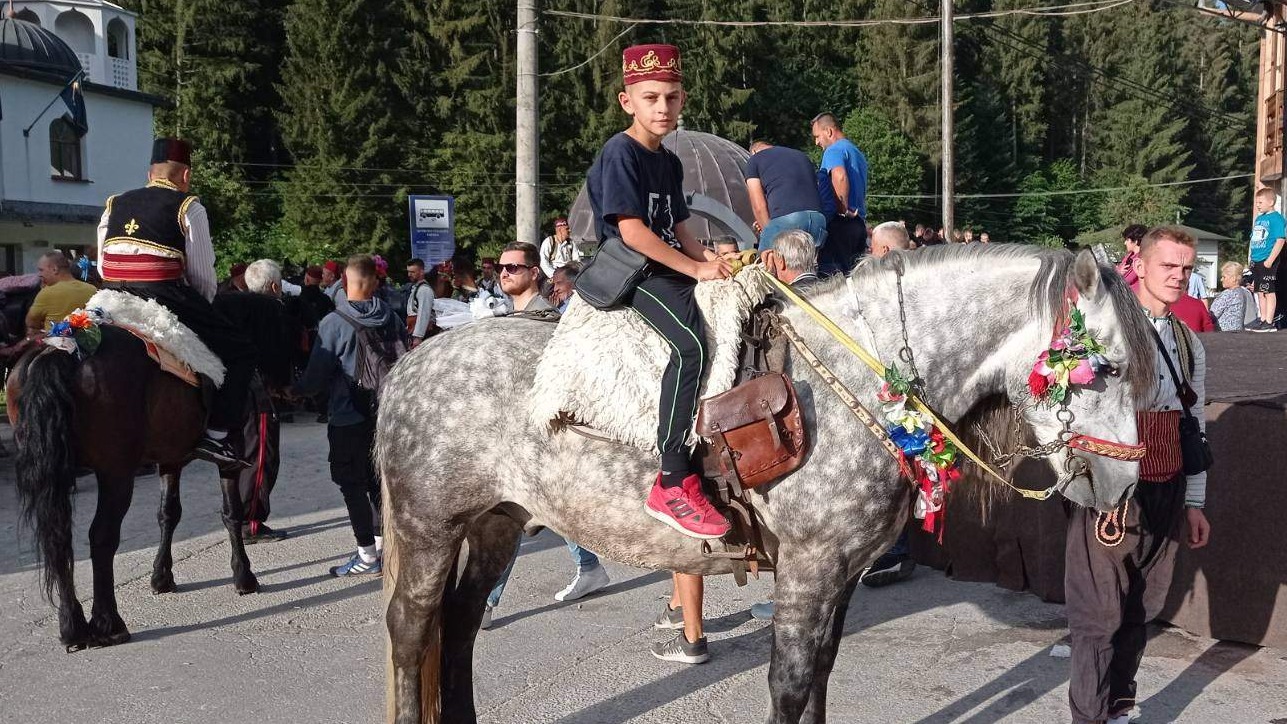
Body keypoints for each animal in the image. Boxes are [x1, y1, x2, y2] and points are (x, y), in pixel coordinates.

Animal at [9, 325, 256, 648]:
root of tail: (59, 348)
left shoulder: (170, 458)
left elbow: (168, 513)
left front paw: (161, 576)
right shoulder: (231, 452)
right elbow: (231, 513)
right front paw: (244, 575)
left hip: (59, 474)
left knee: (59, 538)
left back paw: (72, 626)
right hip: (116, 473)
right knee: (102, 537)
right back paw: (108, 623)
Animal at [373, 245, 1158, 724]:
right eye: (1111, 368)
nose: (1123, 484)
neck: (860, 379)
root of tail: (407, 365)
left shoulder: (838, 571)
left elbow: (819, 676)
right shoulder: (809, 567)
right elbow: (789, 682)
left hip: (497, 522)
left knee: (460, 625)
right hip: (427, 528)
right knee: (412, 631)